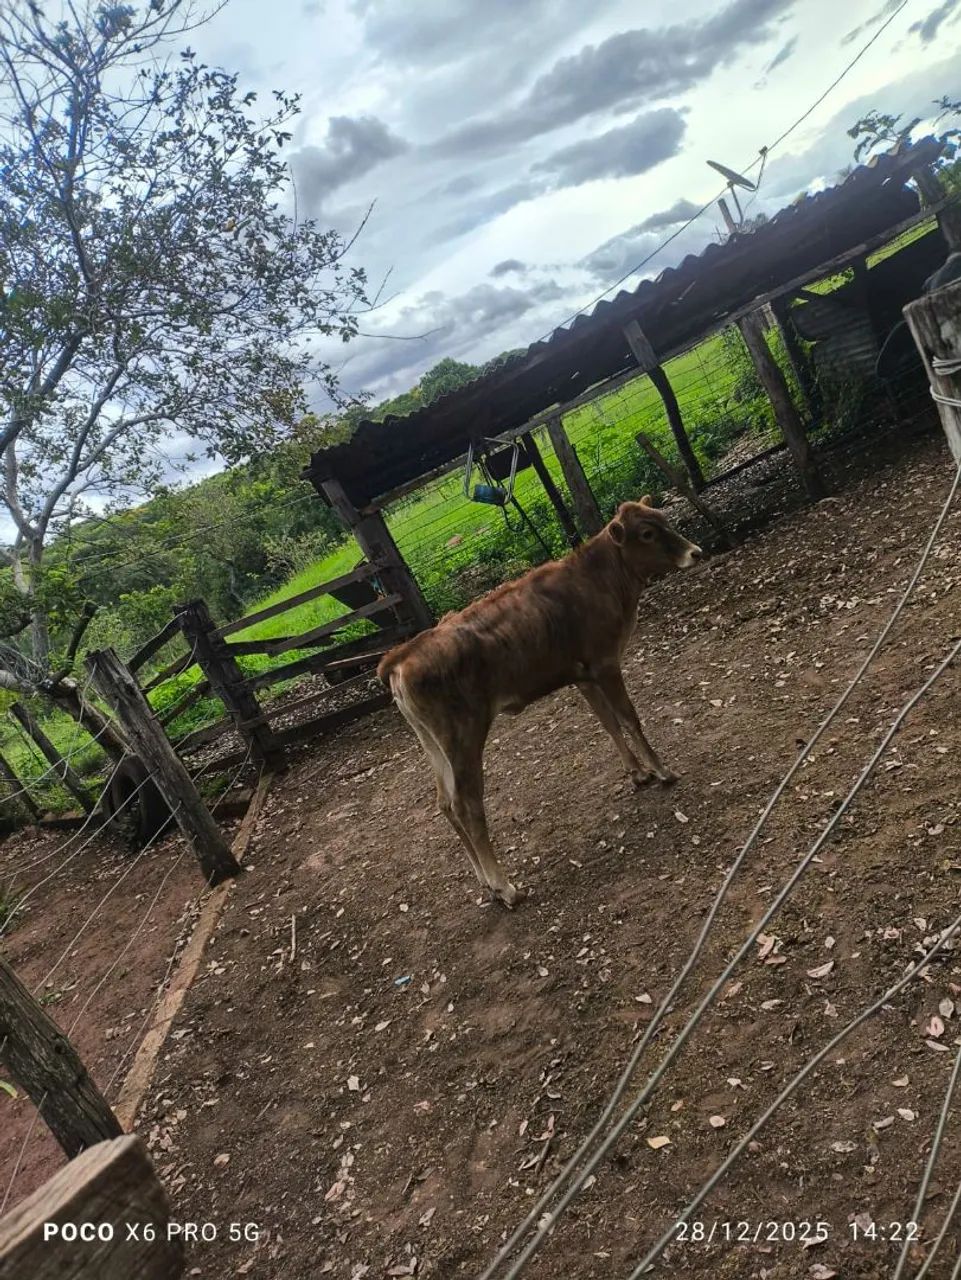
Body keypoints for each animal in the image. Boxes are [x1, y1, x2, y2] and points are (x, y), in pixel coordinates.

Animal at [378, 497, 703, 907]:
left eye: (662, 518)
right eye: (646, 533)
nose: (696, 552)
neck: (598, 579)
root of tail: (402, 653)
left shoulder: (582, 673)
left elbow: (608, 721)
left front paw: (638, 773)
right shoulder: (605, 663)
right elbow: (629, 717)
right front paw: (662, 771)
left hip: (431, 741)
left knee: (444, 801)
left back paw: (484, 881)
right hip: (462, 733)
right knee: (466, 803)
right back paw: (504, 886)